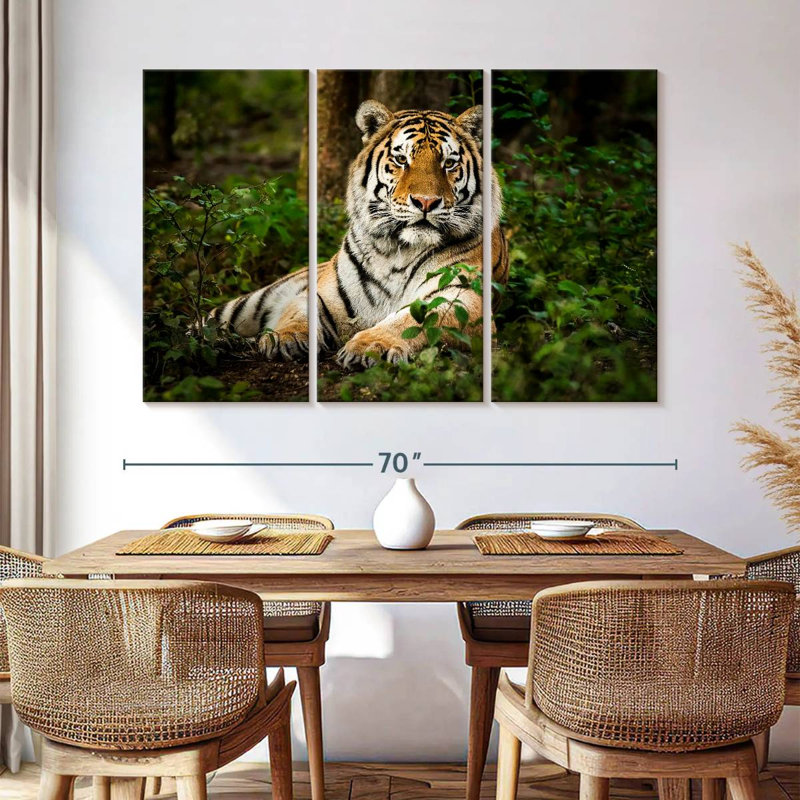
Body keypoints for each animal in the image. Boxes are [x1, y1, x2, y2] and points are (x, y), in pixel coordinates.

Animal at [210, 99, 508, 367]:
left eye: (448, 163)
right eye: (401, 160)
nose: (425, 202)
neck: (399, 251)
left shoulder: (461, 298)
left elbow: (411, 320)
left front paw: (372, 346)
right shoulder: (322, 294)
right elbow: (298, 312)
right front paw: (285, 337)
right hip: (247, 305)